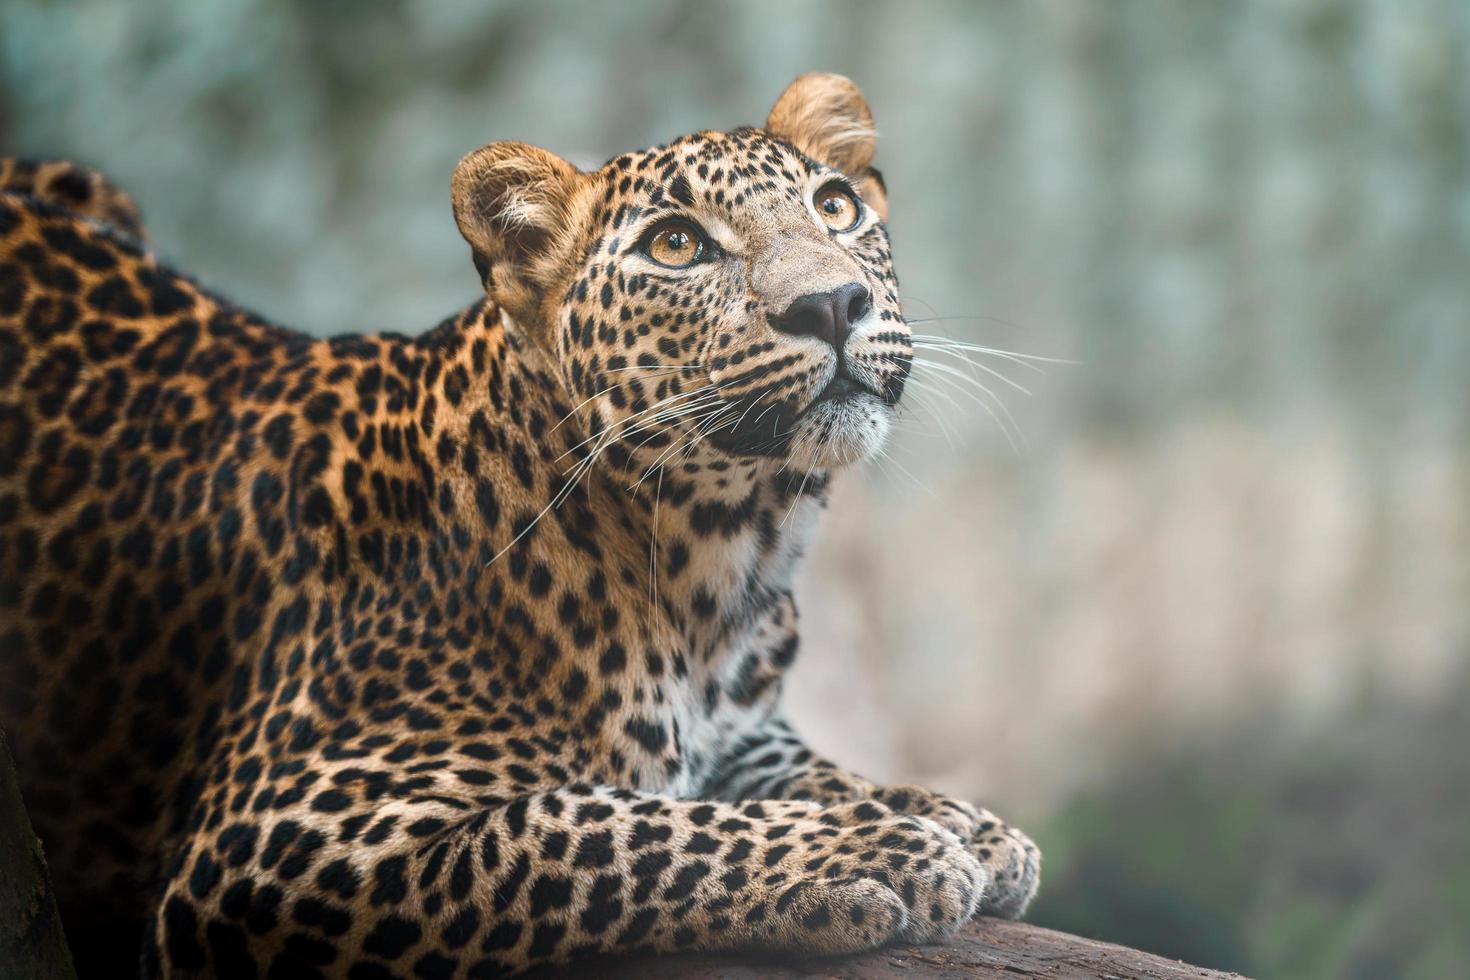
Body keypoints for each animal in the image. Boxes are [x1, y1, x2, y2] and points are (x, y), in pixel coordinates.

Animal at [0, 76, 1040, 980]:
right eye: (675, 246)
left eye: (836, 207)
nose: (831, 304)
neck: (717, 563)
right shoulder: (274, 843)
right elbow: (592, 823)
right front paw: (872, 849)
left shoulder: (741, 726)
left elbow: (799, 766)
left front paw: (959, 821)